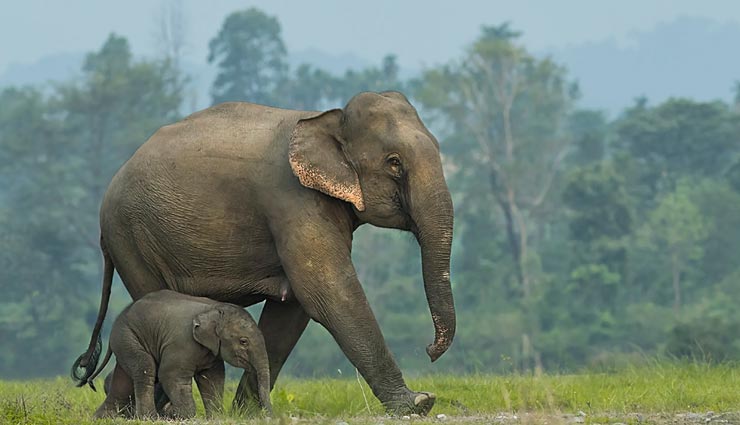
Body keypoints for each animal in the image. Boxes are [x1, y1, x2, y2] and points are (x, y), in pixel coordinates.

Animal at [85, 290, 272, 419]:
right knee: (146, 367)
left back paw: (101, 418)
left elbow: (212, 379)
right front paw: (183, 417)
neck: (214, 308)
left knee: (123, 380)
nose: (269, 414)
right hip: (128, 336)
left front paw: (215, 417)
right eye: (243, 341)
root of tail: (120, 317)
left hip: (126, 341)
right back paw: (150, 418)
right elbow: (170, 375)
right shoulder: (182, 343)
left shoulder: (212, 352)